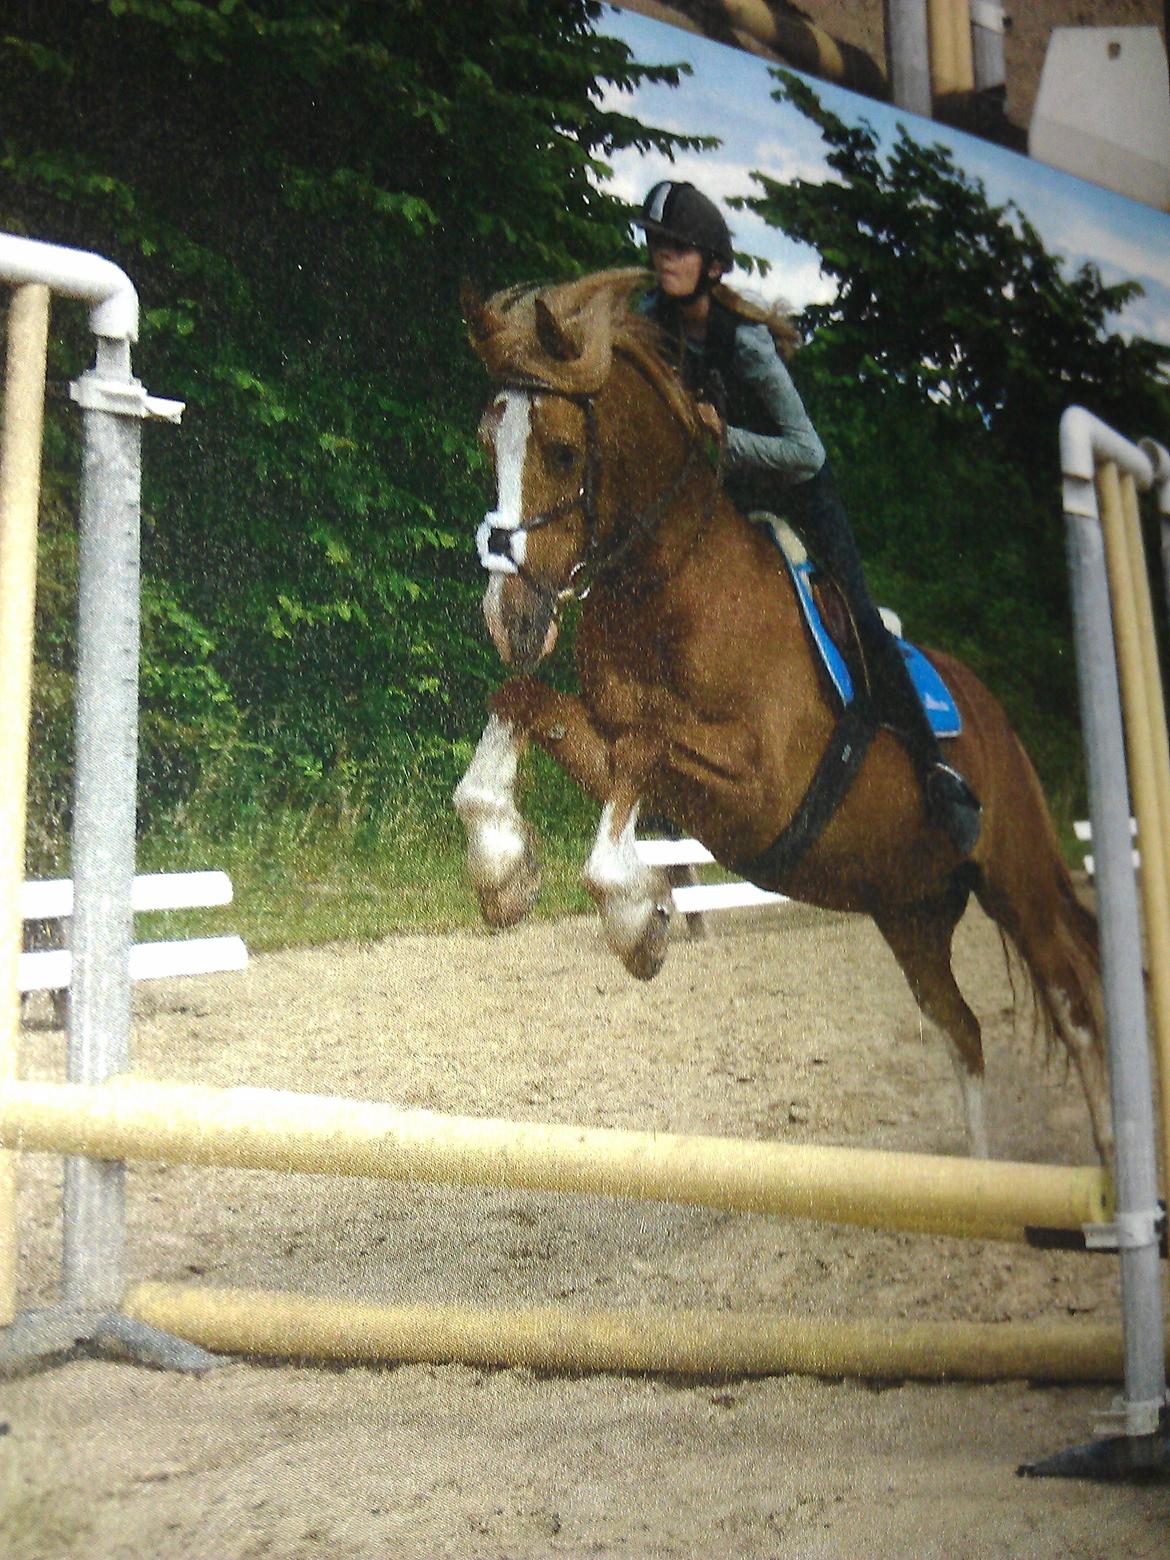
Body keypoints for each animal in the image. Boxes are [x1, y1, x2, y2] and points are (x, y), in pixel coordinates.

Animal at [452, 268, 1110, 1166]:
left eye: (561, 451)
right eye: (489, 445)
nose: (511, 619)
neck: (671, 583)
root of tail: (998, 720)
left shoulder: (761, 783)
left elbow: (648, 752)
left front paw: (637, 918)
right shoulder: (608, 740)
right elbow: (526, 708)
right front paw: (503, 872)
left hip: (1016, 878)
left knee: (1075, 1008)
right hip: (910, 907)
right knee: (962, 1028)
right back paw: (984, 1175)